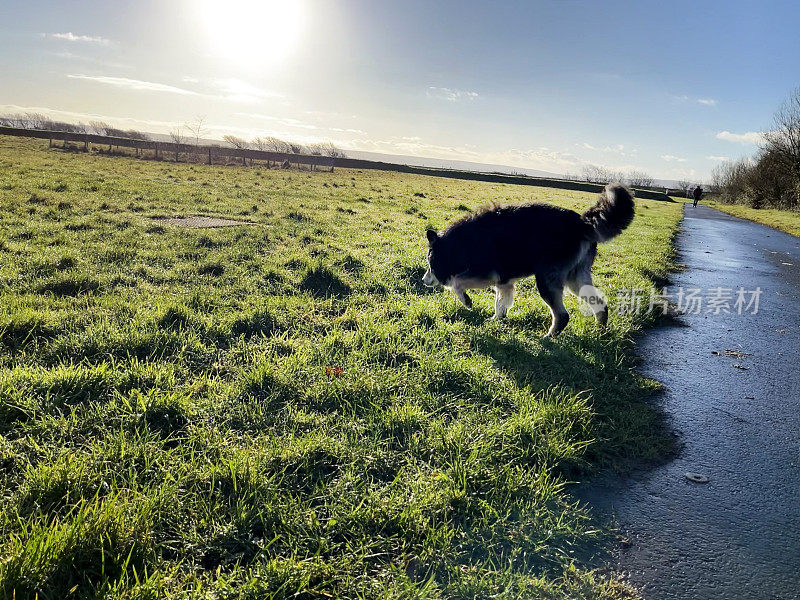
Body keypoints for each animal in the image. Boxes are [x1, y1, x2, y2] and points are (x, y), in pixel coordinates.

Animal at [422, 182, 636, 338]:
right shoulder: (504, 282)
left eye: (429, 263)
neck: (458, 243)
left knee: (562, 315)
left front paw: (466, 301)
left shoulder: (487, 274)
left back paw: (549, 338)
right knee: (600, 305)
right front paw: (496, 320)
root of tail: (582, 223)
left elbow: (457, 283)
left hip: (546, 279)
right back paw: (599, 332)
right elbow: (500, 304)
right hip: (576, 278)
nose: (424, 281)